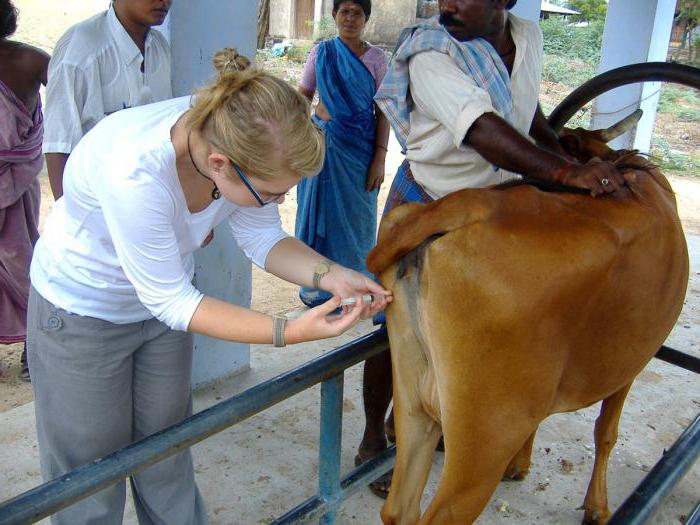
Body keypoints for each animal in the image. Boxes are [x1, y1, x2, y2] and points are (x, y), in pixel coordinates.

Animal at [366, 115, 688, 524]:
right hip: (484, 441)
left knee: (399, 508)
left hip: (414, 400)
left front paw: (520, 465)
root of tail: (471, 206)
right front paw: (597, 508)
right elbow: (606, 431)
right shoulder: (628, 364)